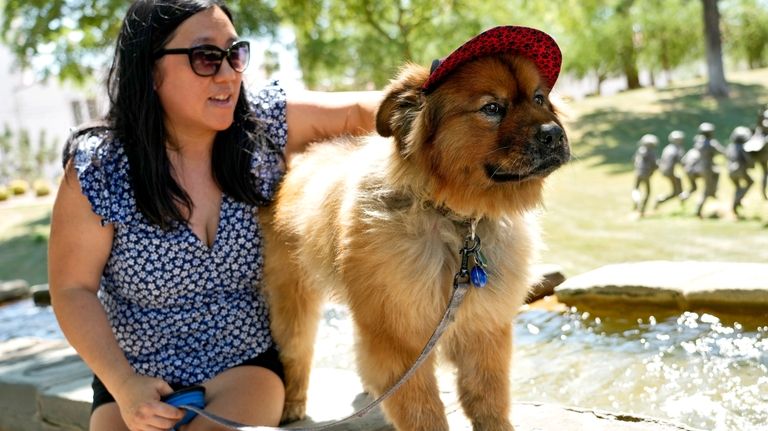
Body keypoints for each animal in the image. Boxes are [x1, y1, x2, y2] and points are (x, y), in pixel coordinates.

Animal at [264, 27, 568, 431]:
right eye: (492, 108)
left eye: (539, 98)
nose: (554, 134)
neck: (458, 223)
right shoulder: (399, 335)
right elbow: (422, 409)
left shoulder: (483, 328)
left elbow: (488, 398)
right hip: (294, 297)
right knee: (296, 352)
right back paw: (291, 406)